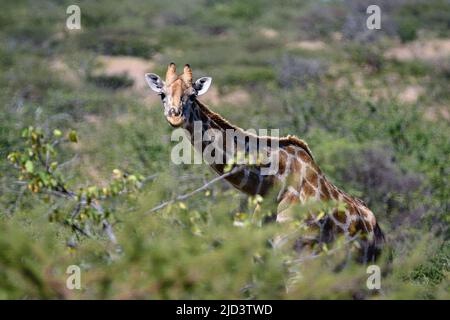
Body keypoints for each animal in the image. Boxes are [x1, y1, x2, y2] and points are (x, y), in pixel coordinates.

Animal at [146, 62, 384, 262]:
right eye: (162, 94)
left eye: (193, 96)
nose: (175, 115)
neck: (274, 185)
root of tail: (379, 231)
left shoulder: (299, 259)